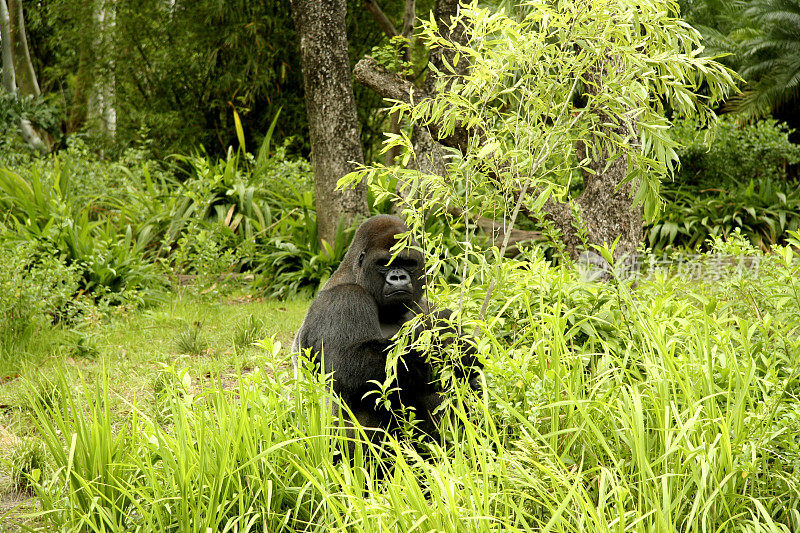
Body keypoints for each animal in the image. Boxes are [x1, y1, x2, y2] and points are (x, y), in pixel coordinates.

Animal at [294, 214, 482, 442]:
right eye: (385, 263)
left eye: (407, 263)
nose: (398, 277)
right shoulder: (343, 300)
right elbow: (347, 364)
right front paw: (442, 350)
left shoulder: (426, 307)